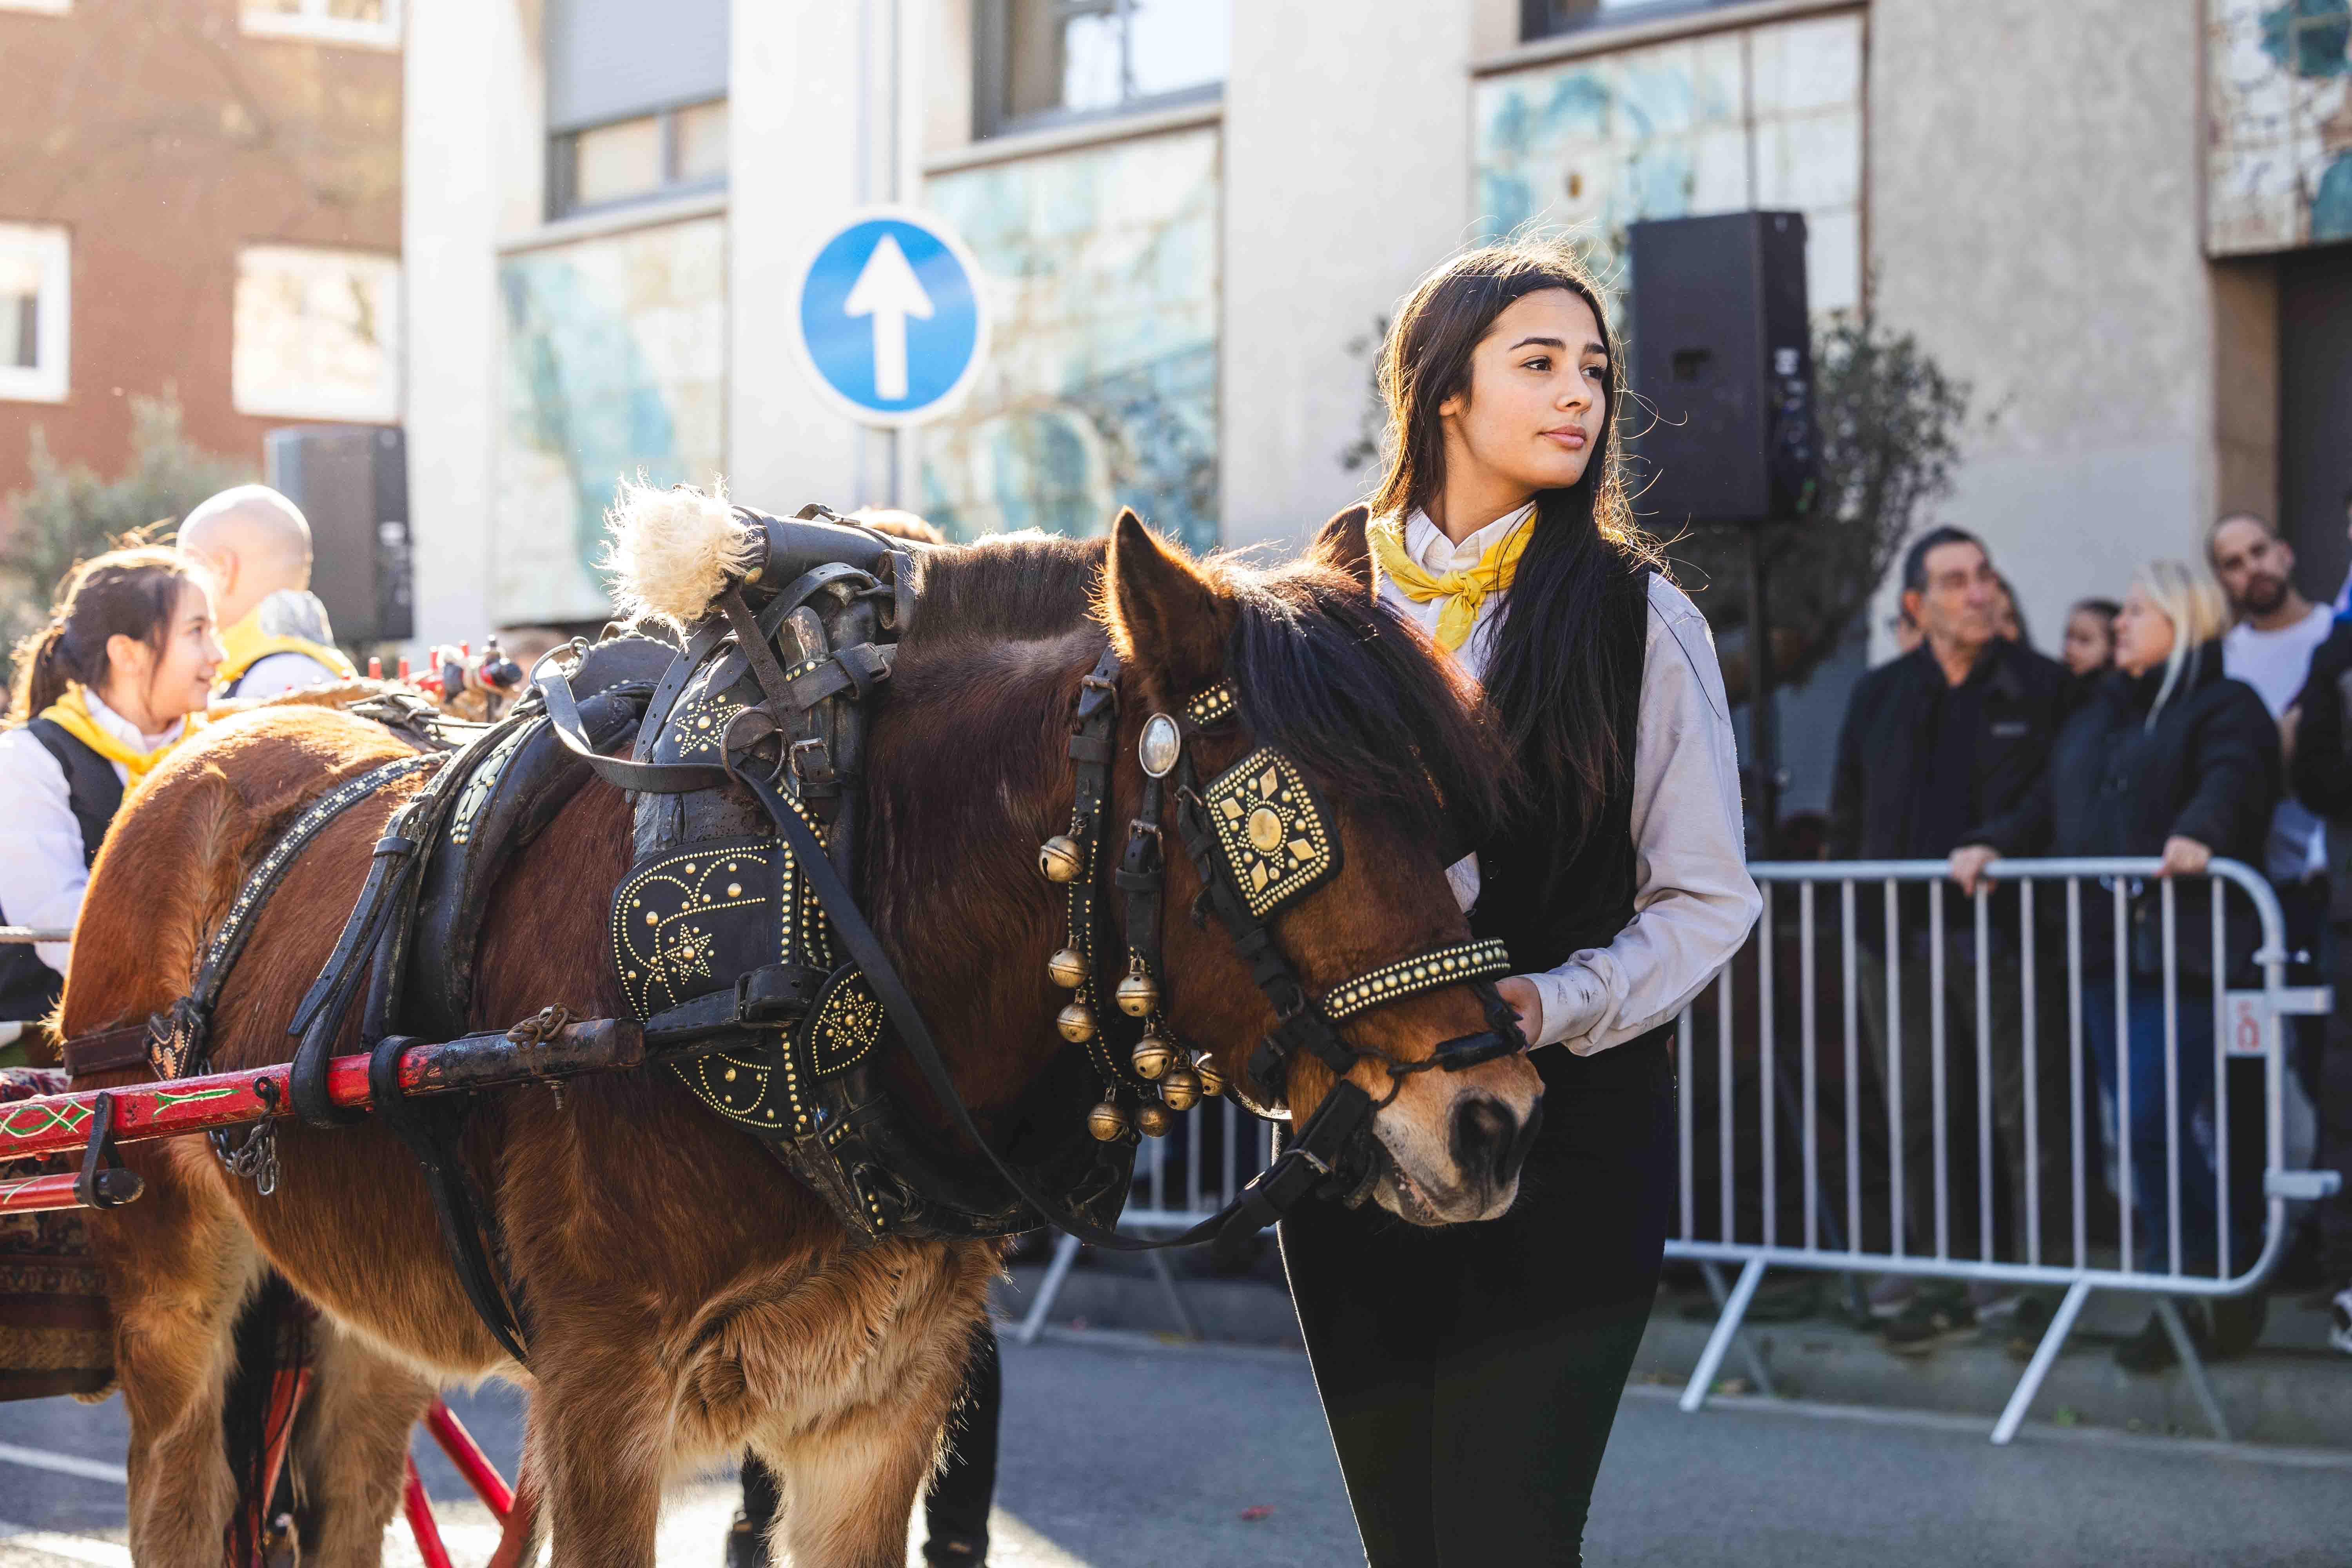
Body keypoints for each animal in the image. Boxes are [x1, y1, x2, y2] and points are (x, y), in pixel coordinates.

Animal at [64, 517, 1543, 1568]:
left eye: (1440, 813)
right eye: (1288, 824)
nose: (1496, 1117)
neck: (829, 916)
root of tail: (204, 745)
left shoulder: (879, 1411)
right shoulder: (603, 1399)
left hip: (367, 1302)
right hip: (166, 1293)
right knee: (178, 1499)